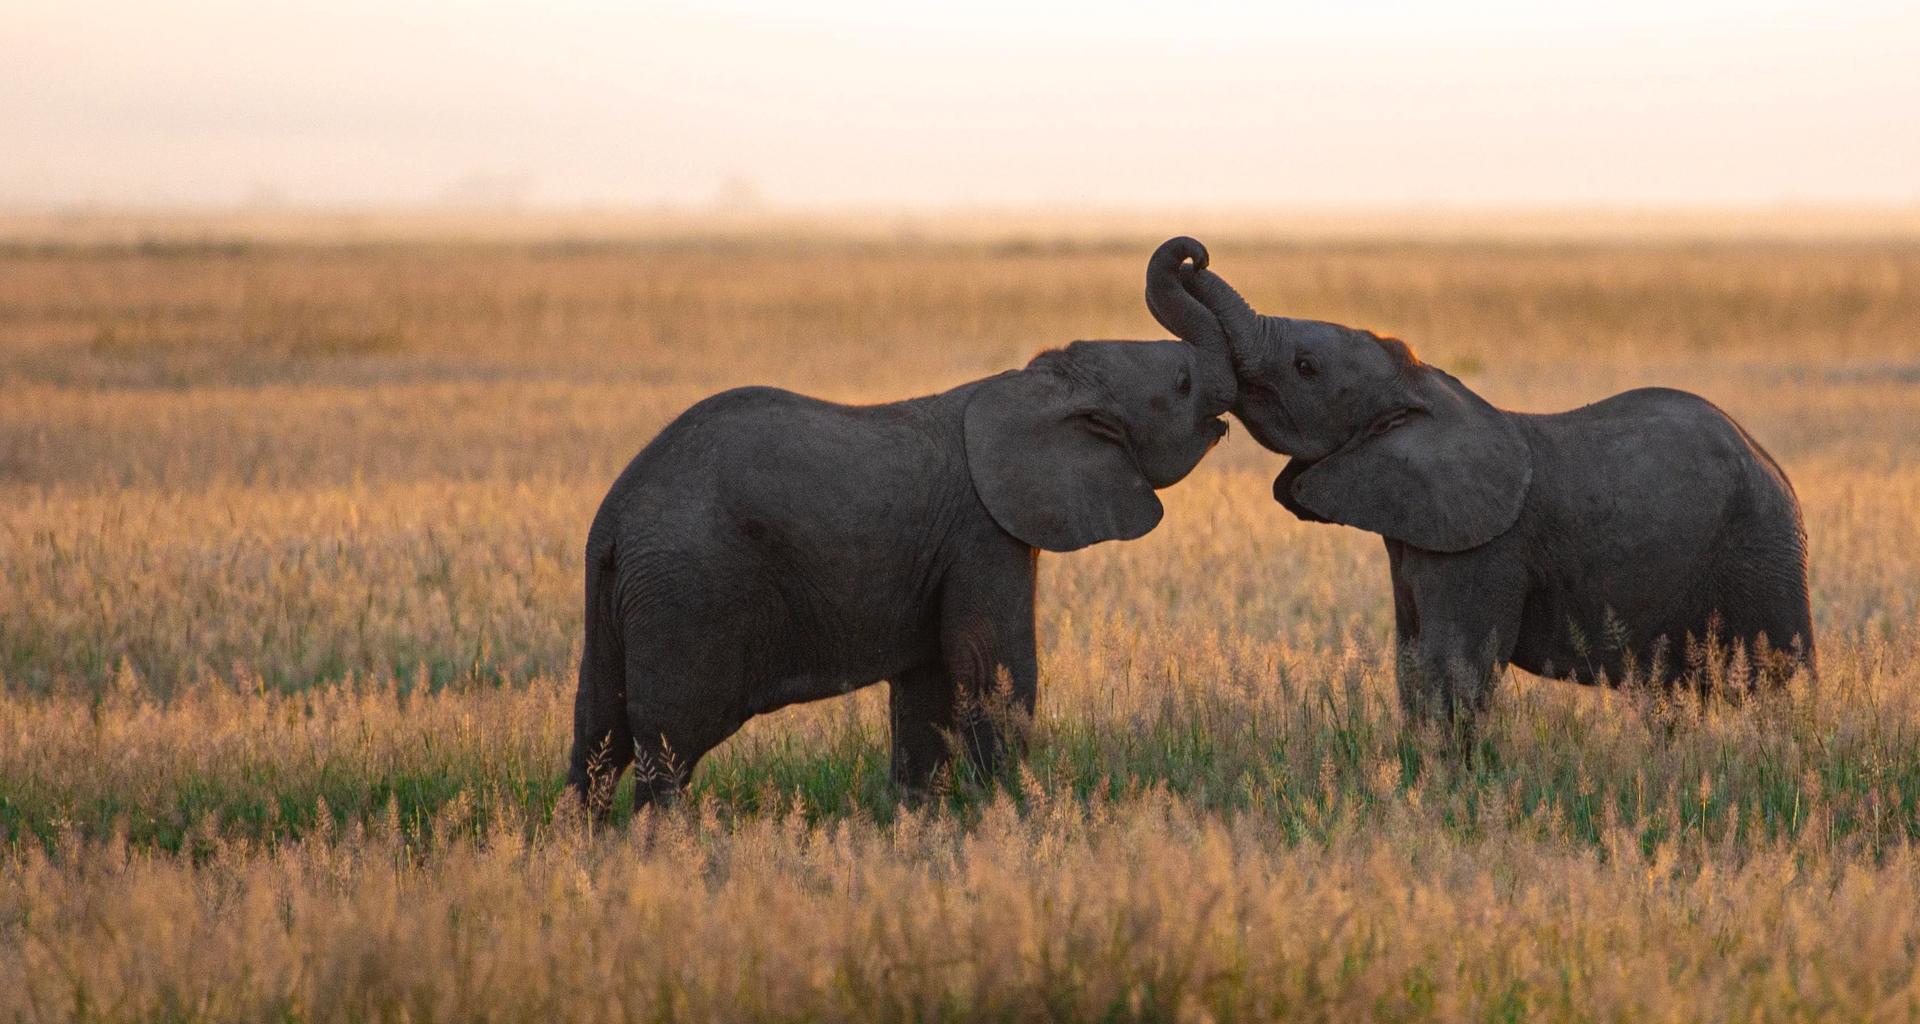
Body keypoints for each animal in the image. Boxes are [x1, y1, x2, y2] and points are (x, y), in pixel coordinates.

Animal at [566, 327, 1235, 811]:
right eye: (1182, 384)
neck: (1041, 384)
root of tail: (616, 518)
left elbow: (927, 694)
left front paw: (923, 823)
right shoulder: (982, 532)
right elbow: (993, 671)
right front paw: (1019, 812)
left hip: (618, 598)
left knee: (598, 733)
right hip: (688, 596)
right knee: (670, 743)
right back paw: (663, 848)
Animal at [1145, 236, 1814, 725]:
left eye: (1305, 367)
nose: (1195, 254)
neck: (1422, 387)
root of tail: (1771, 464)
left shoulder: (1487, 547)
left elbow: (1453, 671)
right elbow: (1413, 665)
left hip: (1759, 552)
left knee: (1774, 674)